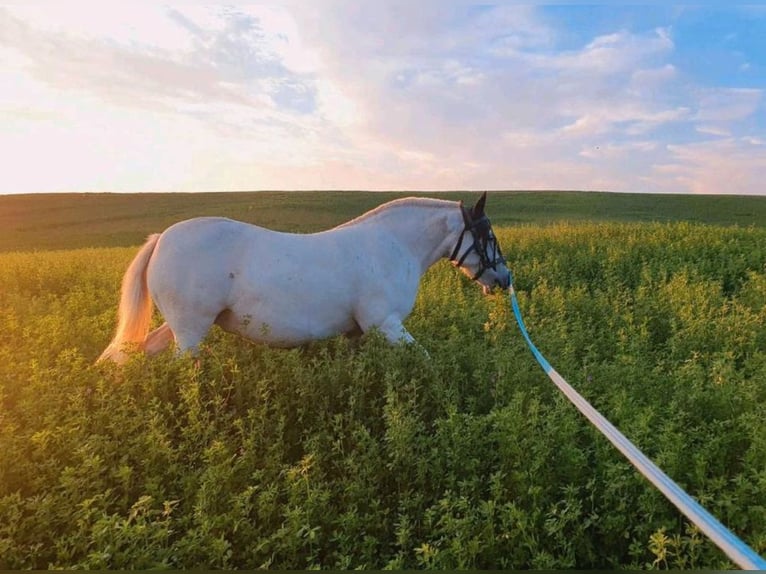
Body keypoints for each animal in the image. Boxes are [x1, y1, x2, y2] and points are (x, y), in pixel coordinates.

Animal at [99, 194, 512, 364]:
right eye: (488, 234)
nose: (505, 278)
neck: (394, 246)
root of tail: (161, 238)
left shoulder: (356, 332)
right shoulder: (386, 325)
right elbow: (425, 360)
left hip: (178, 327)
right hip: (190, 331)